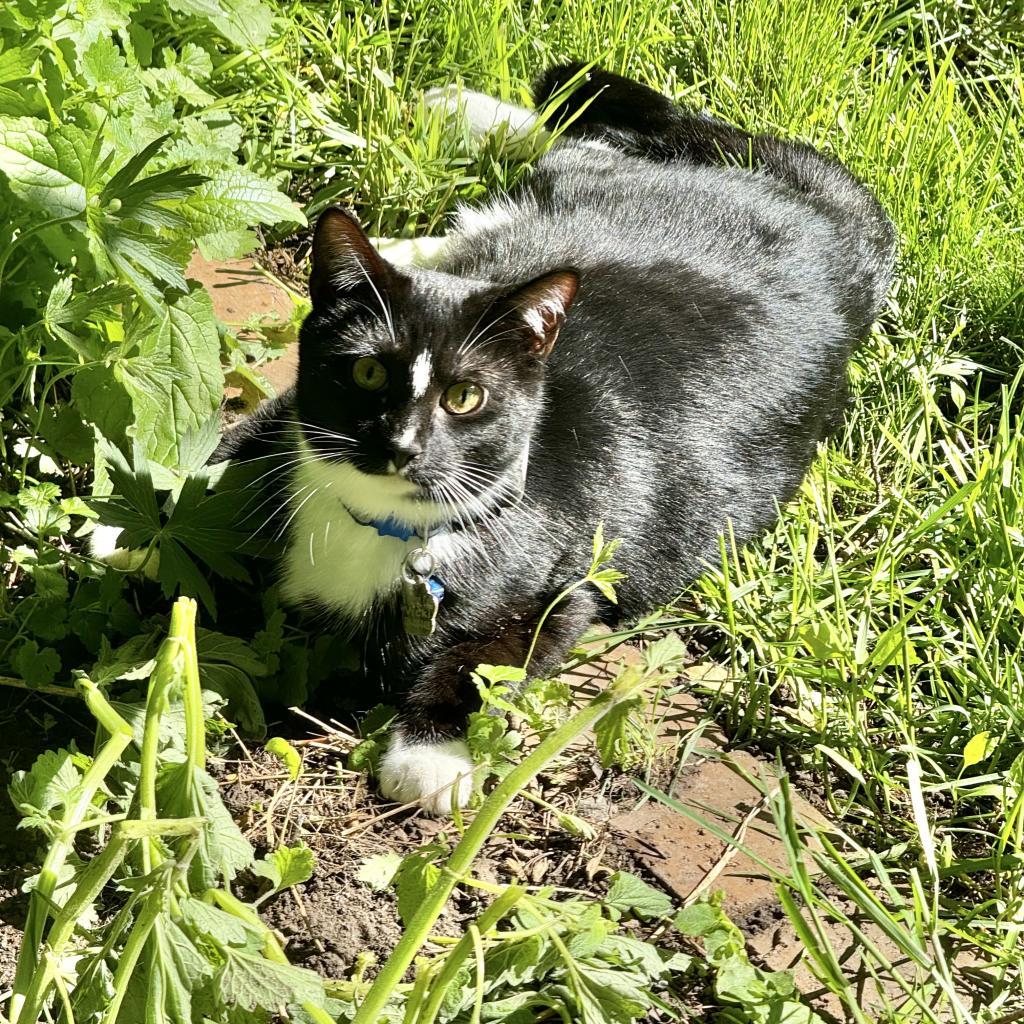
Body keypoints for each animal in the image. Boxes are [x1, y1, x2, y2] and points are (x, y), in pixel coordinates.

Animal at [216, 64, 897, 815]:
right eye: (366, 372)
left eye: (465, 398)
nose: (401, 446)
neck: (384, 525)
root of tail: (839, 232)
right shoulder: (281, 427)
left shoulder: (577, 575)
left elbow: (487, 659)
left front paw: (430, 756)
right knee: (580, 150)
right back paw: (442, 153)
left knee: (595, 146)